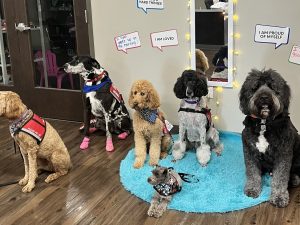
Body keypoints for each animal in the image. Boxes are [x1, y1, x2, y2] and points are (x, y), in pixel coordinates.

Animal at [239, 68, 300, 207]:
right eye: (255, 87)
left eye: (272, 86)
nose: (264, 97)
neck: (264, 123)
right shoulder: (249, 150)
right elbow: (252, 172)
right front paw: (252, 188)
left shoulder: (283, 154)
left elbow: (280, 177)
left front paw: (279, 196)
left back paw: (293, 178)